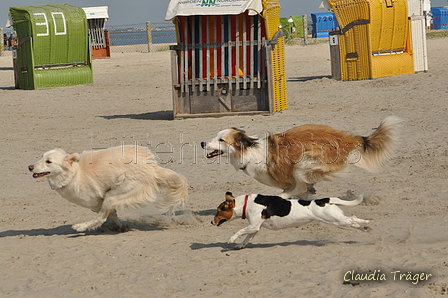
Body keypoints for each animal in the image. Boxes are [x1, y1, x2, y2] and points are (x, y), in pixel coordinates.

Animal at [28, 146, 187, 232]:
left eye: (49, 161)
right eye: (41, 157)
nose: (29, 167)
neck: (75, 174)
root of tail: (153, 169)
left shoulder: (99, 201)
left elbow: (104, 215)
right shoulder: (98, 204)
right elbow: (112, 215)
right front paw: (122, 226)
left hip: (116, 193)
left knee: (100, 218)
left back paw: (80, 227)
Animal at [202, 116, 402, 198]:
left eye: (221, 140)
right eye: (215, 136)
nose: (202, 143)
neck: (250, 151)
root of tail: (346, 139)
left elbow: (298, 188)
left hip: (304, 162)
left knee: (298, 186)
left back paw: (286, 195)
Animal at [214, 191, 372, 249]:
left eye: (218, 210)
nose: (211, 222)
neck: (247, 203)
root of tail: (322, 200)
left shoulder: (253, 226)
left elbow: (239, 231)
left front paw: (231, 240)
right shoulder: (254, 228)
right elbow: (246, 238)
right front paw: (239, 245)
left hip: (334, 219)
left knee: (353, 219)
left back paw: (366, 223)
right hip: (337, 218)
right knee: (353, 222)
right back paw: (365, 227)